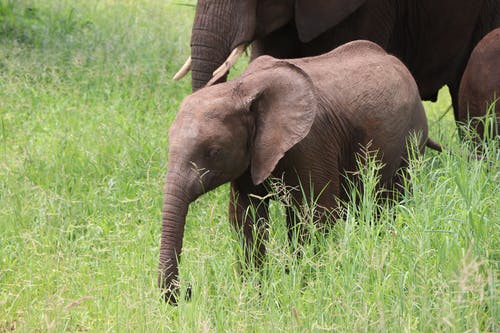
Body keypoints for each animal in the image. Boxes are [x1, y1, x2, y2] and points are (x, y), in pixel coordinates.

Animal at [159, 40, 438, 302]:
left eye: (213, 152)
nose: (187, 291)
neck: (240, 88)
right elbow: (247, 220)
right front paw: (255, 299)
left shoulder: (312, 143)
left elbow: (316, 216)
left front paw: (302, 294)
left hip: (411, 141)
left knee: (387, 205)